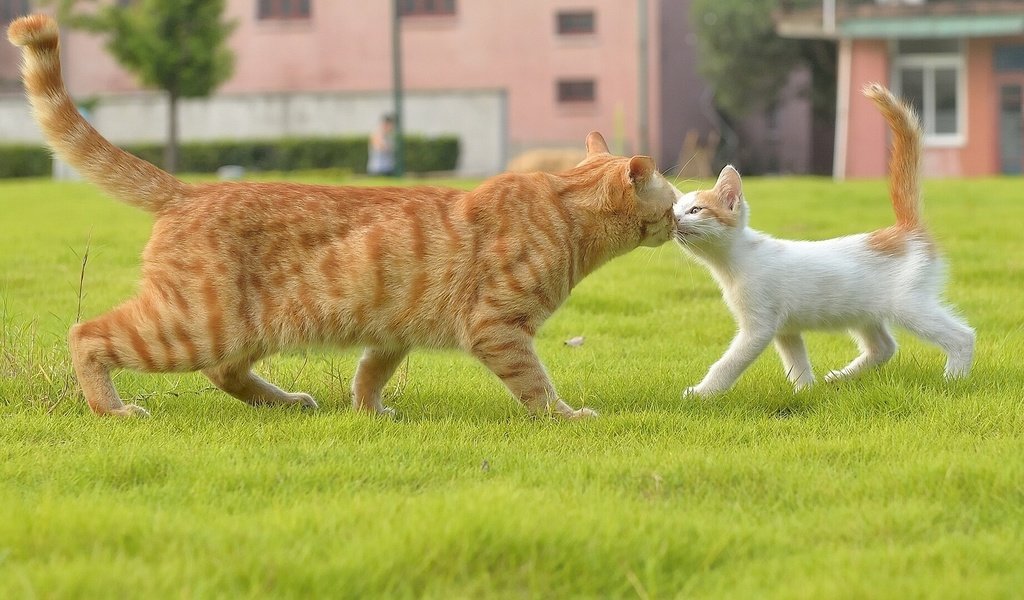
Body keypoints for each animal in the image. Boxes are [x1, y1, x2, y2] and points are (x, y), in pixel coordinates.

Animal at [9, 14, 679, 415]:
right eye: (672, 202)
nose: (678, 221)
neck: (565, 211)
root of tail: (190, 191)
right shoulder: (497, 328)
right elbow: (538, 387)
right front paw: (568, 416)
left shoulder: (393, 331)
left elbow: (370, 373)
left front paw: (369, 412)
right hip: (190, 325)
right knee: (88, 335)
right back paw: (113, 408)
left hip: (244, 331)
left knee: (226, 374)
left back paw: (285, 402)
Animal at [671, 82, 974, 393]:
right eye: (675, 210)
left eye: (695, 210)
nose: (675, 220)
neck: (735, 261)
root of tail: (904, 229)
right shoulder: (786, 329)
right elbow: (797, 363)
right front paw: (805, 392)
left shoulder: (759, 326)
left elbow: (729, 363)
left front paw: (702, 392)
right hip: (863, 309)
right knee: (884, 347)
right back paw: (840, 377)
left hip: (908, 303)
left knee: (963, 335)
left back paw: (954, 379)